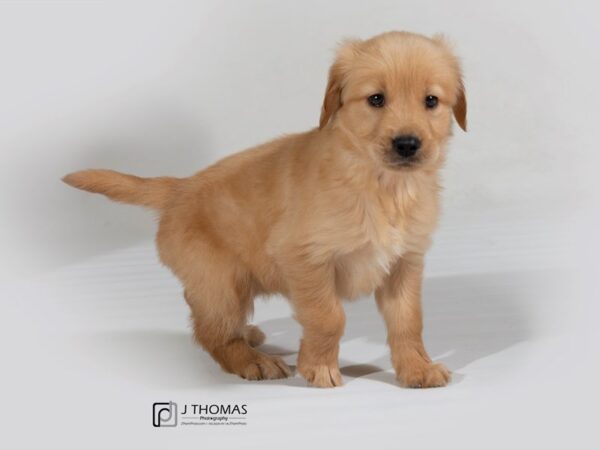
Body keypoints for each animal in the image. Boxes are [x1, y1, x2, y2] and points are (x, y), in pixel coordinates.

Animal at [65, 31, 468, 388]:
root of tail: (180, 187)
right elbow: (328, 317)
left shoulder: (405, 262)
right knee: (210, 331)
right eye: (376, 99)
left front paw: (417, 368)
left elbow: (408, 321)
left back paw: (250, 336)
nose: (407, 144)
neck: (383, 185)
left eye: (431, 101)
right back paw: (253, 360)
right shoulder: (304, 257)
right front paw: (319, 367)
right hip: (222, 282)